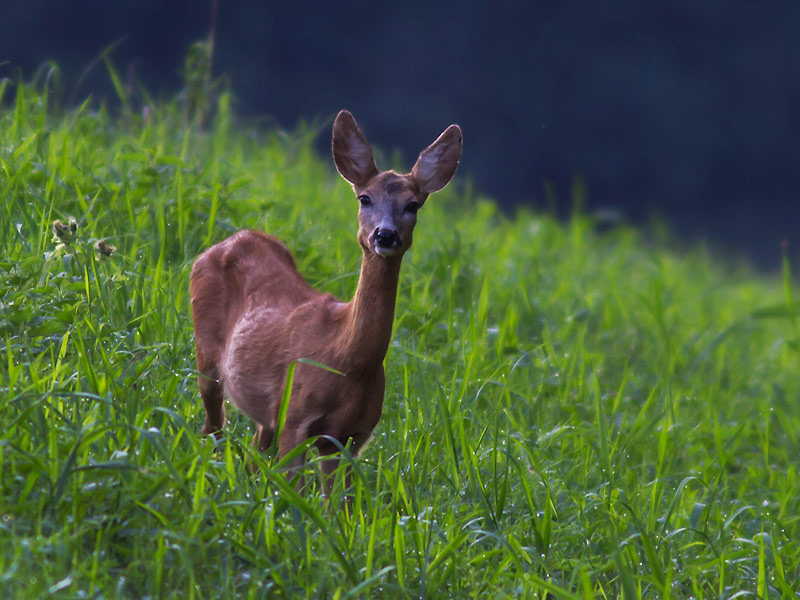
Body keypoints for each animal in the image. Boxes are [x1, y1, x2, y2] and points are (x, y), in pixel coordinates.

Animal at [189, 111, 462, 492]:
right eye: (364, 198)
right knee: (212, 429)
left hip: (266, 414)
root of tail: (227, 242)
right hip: (207, 357)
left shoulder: (351, 437)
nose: (385, 235)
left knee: (254, 451)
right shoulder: (295, 418)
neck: (347, 360)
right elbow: (293, 491)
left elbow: (338, 504)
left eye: (413, 205)